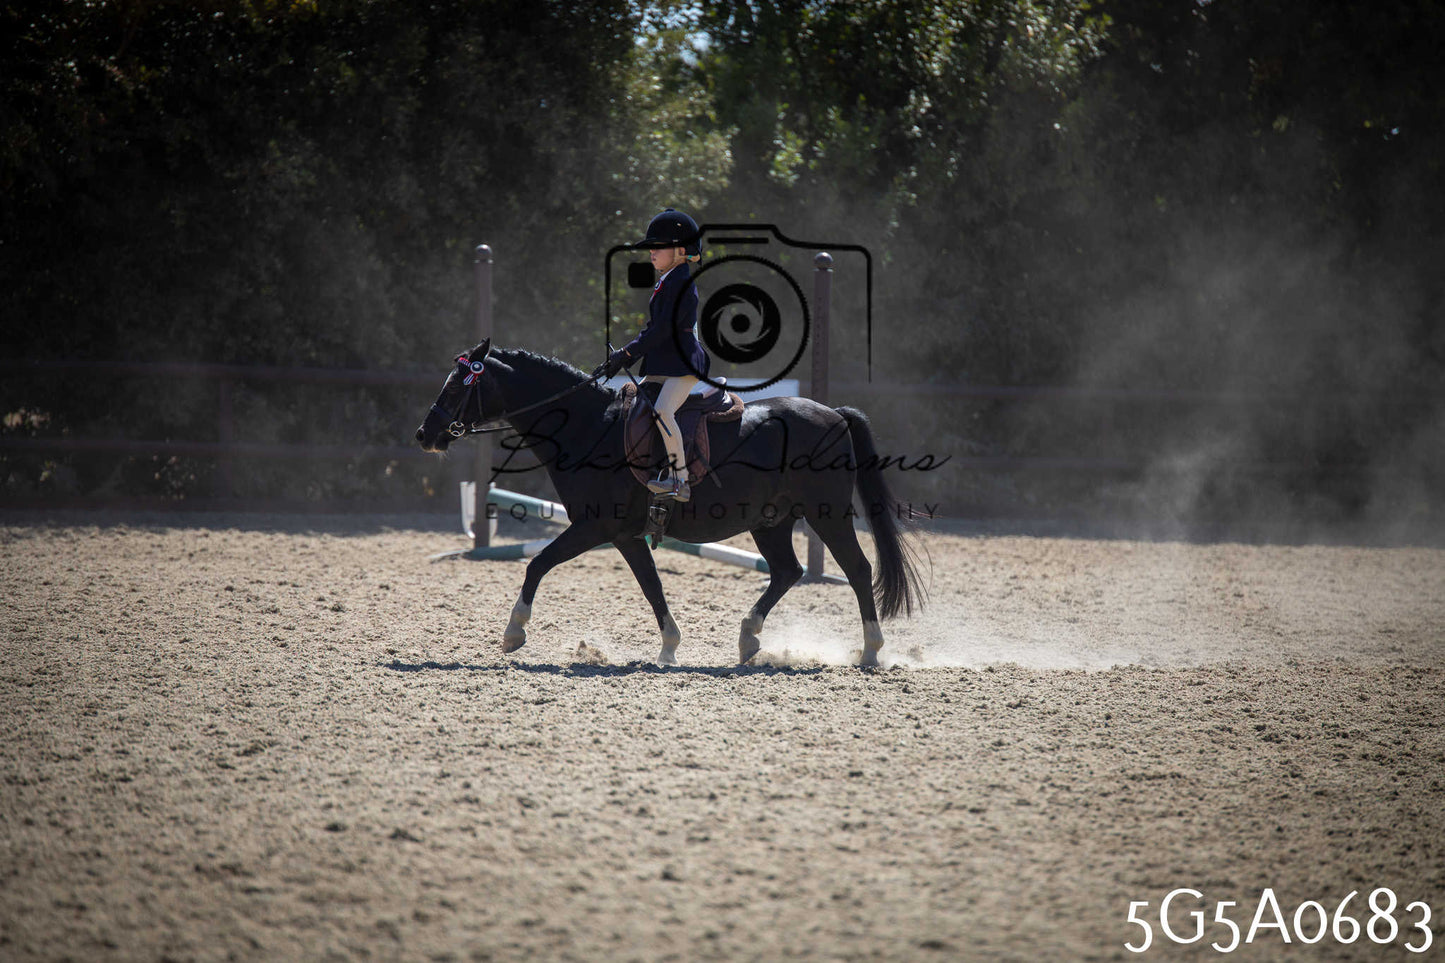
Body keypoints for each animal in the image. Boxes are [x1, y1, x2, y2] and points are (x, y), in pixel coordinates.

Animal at [415, 340, 926, 666]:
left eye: (457, 386)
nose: (425, 434)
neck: (586, 425)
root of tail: (833, 413)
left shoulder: (593, 527)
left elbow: (537, 564)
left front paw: (513, 632)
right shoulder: (624, 536)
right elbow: (652, 586)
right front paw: (668, 648)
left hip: (827, 513)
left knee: (857, 569)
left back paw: (871, 651)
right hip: (771, 521)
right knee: (788, 571)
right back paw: (748, 638)